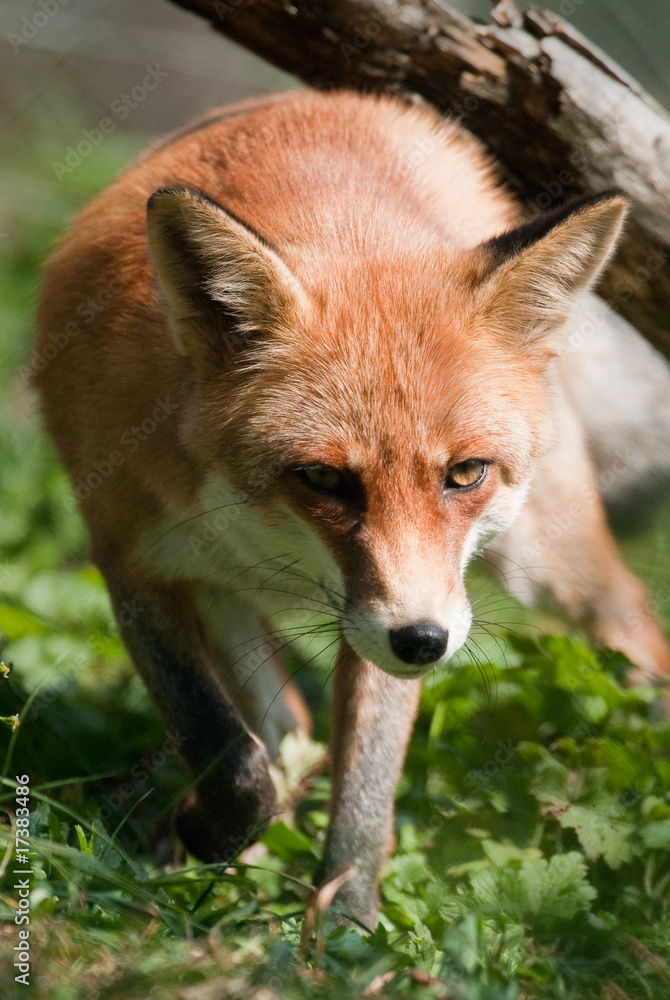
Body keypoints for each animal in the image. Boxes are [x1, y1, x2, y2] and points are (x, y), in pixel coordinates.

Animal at [34, 89, 670, 926]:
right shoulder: (134, 563)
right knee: (284, 728)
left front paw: (345, 931)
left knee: (633, 622)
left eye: (466, 473)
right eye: (325, 479)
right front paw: (218, 834)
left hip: (546, 564)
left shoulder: (404, 607)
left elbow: (364, 798)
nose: (424, 643)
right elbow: (224, 746)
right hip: (235, 595)